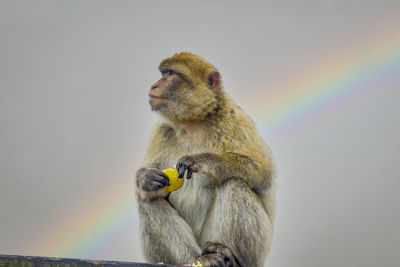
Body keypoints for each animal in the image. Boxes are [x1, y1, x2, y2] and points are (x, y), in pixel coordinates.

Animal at [134, 52, 276, 267]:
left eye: (170, 74)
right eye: (163, 74)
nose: (155, 85)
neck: (193, 123)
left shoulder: (233, 120)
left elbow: (262, 171)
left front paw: (202, 160)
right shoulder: (162, 131)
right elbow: (151, 188)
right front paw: (145, 177)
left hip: (256, 252)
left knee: (234, 182)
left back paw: (228, 255)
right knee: (148, 199)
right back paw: (198, 259)